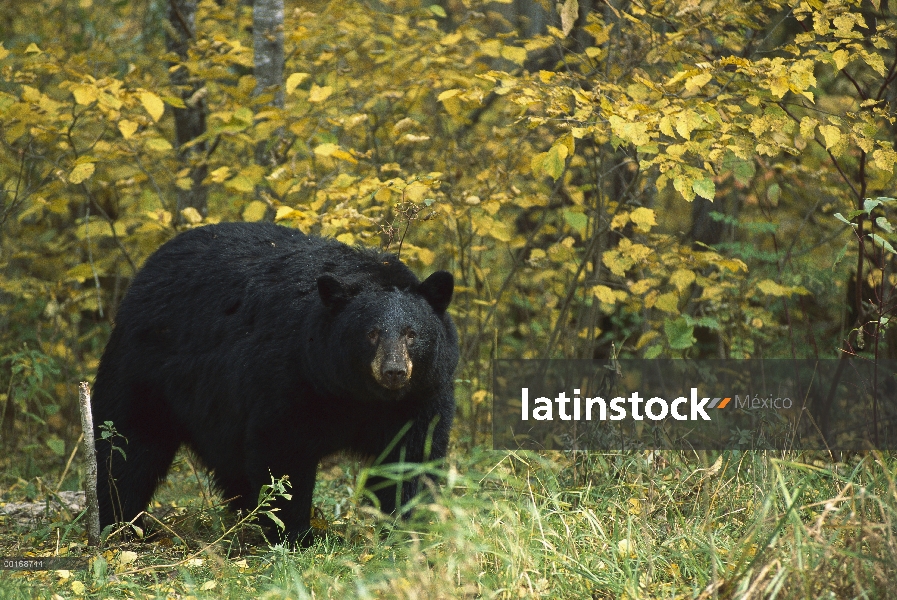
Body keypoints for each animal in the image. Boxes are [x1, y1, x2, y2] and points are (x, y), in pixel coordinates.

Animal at [92, 221, 458, 544]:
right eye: (371, 333)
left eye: (412, 334)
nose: (394, 371)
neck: (358, 394)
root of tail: (148, 268)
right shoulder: (293, 378)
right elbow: (284, 453)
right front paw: (296, 534)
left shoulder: (421, 395)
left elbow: (412, 455)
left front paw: (406, 524)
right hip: (146, 370)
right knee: (128, 447)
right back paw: (122, 524)